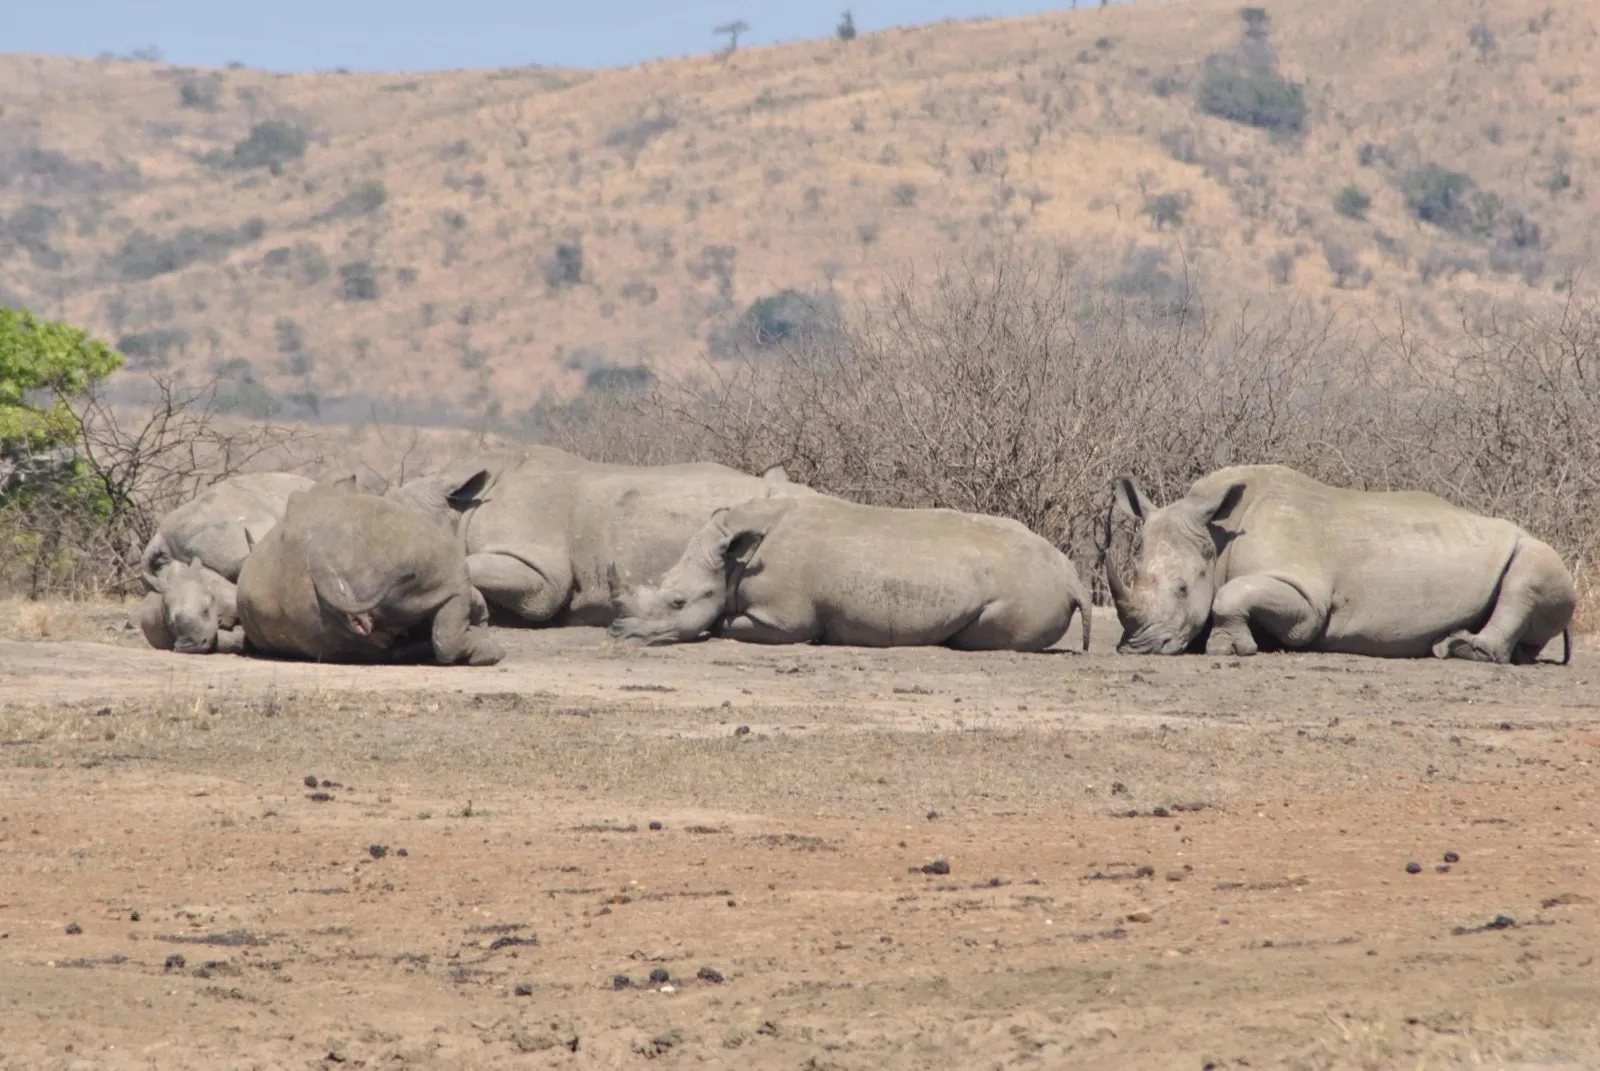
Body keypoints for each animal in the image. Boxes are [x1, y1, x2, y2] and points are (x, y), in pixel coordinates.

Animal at [606, 493, 1093, 652]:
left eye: (678, 602)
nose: (619, 634)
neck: (733, 559)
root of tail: (1071, 575)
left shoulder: (784, 619)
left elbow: (724, 624)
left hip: (1027, 589)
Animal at [1105, 463, 1575, 663]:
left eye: (1184, 589)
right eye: (1134, 576)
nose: (1138, 647)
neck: (1219, 537)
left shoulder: (1308, 601)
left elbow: (1230, 593)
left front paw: (1228, 648)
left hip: (1540, 550)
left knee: (1528, 572)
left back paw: (1467, 652)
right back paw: (1446, 644)